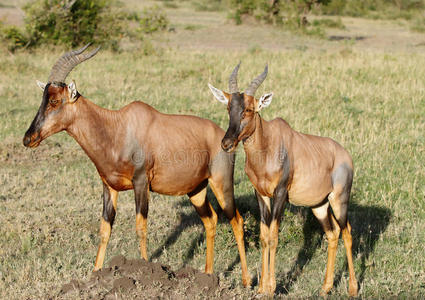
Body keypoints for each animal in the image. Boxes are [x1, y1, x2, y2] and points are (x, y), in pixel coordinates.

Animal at [23, 45, 250, 288]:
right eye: (43, 99)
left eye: (55, 101)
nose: (28, 138)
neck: (117, 127)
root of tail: (222, 136)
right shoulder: (109, 187)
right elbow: (105, 229)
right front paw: (96, 273)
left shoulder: (141, 183)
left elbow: (141, 227)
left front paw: (145, 269)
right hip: (196, 191)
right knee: (211, 220)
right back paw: (207, 276)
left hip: (222, 184)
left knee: (236, 220)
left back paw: (246, 281)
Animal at [209, 62, 358, 296]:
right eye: (228, 108)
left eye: (248, 109)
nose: (226, 143)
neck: (268, 144)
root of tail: (345, 155)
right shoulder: (261, 195)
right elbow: (264, 236)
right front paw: (261, 287)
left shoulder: (280, 195)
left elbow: (273, 236)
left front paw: (271, 288)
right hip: (319, 205)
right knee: (333, 233)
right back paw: (325, 288)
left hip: (339, 199)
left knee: (347, 232)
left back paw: (352, 288)